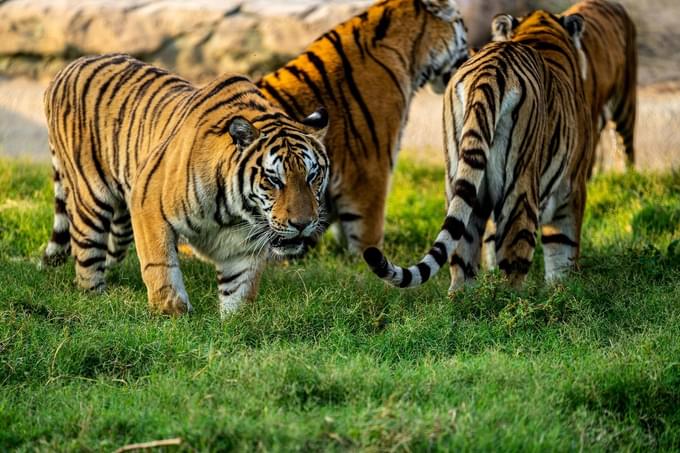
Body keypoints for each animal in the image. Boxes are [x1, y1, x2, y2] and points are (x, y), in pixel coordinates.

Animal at [41, 53, 330, 314]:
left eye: (312, 176)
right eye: (273, 180)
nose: (303, 224)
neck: (235, 213)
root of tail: (67, 68)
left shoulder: (242, 247)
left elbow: (239, 291)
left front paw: (234, 324)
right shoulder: (148, 205)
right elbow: (161, 269)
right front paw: (174, 316)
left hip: (123, 213)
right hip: (91, 198)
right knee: (87, 255)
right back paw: (96, 299)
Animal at [364, 10, 592, 292]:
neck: (541, 31)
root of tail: (490, 70)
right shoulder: (573, 186)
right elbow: (564, 248)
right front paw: (562, 289)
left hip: (460, 179)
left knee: (460, 255)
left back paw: (464, 299)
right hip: (521, 185)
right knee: (515, 254)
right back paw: (517, 300)